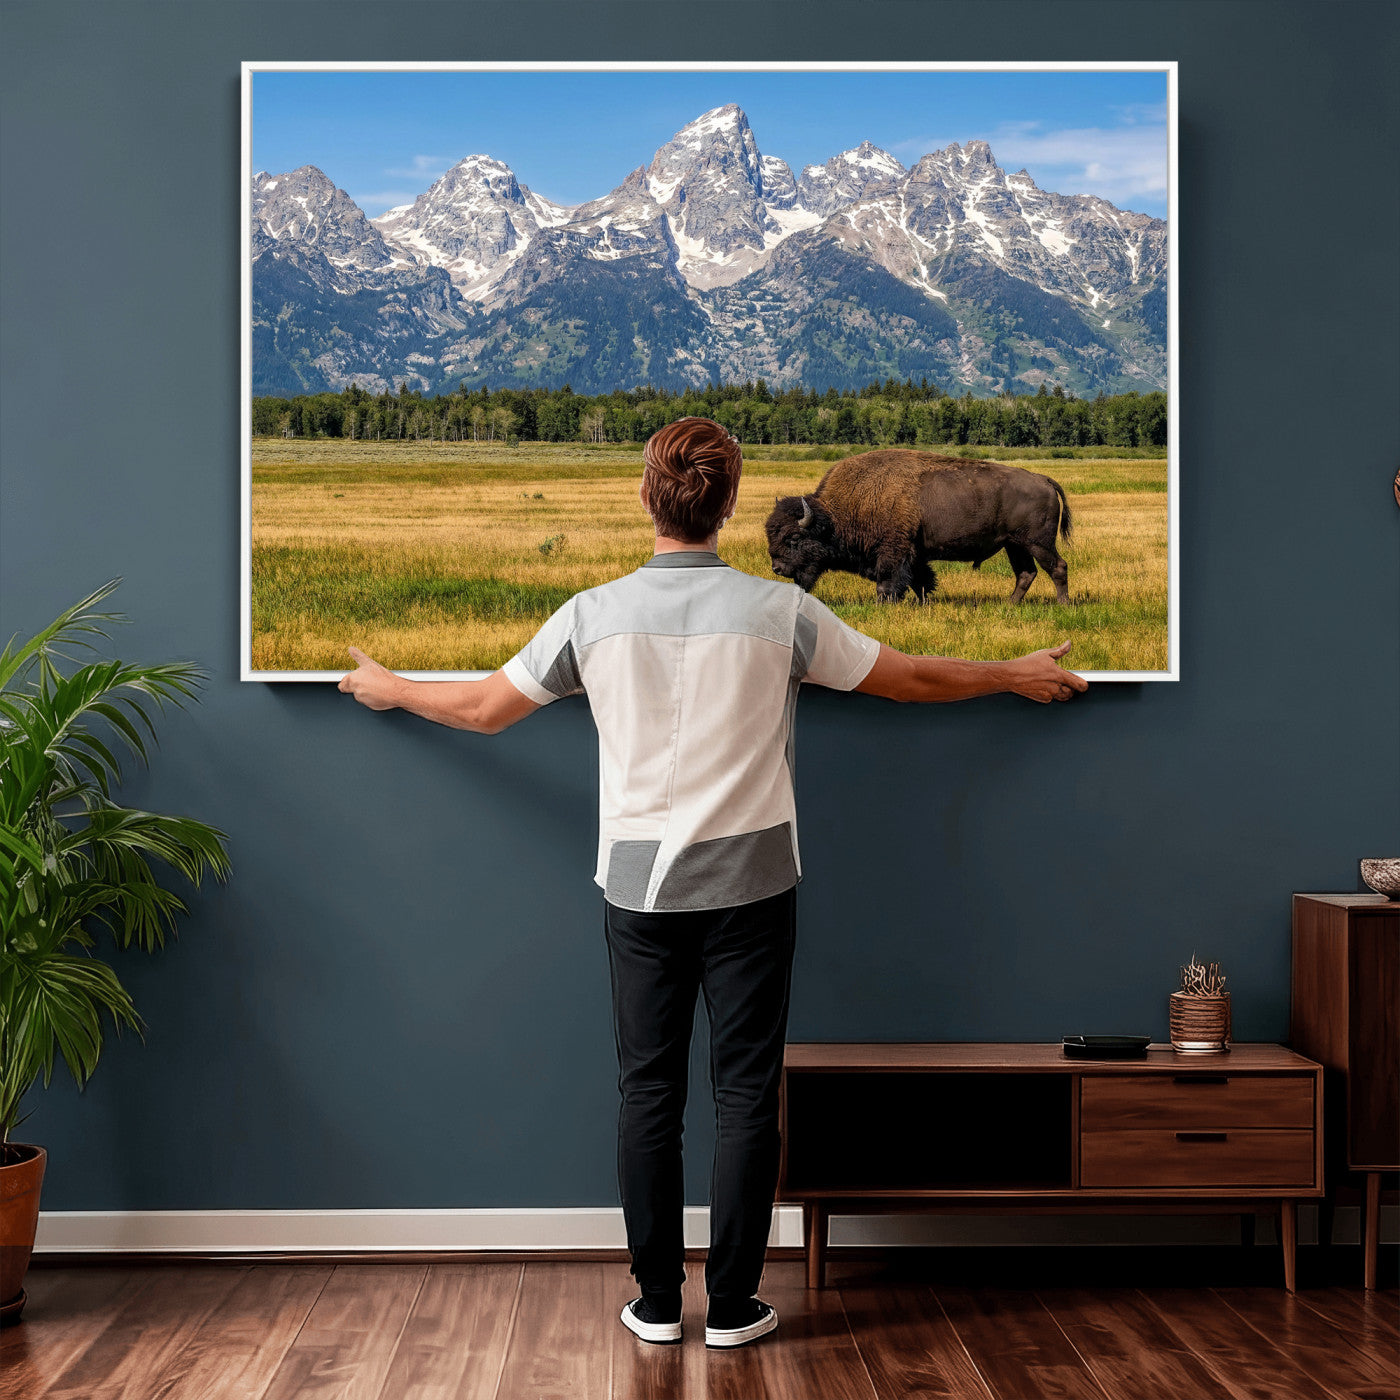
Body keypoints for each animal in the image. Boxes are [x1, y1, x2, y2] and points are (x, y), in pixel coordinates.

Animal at [764, 449, 1073, 605]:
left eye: (794, 538)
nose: (778, 568)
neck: (835, 515)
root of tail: (1043, 479)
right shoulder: (915, 554)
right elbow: (920, 581)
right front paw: (924, 602)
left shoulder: (894, 551)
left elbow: (889, 582)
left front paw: (884, 604)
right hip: (1014, 545)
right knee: (1026, 573)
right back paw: (1009, 605)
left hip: (1038, 543)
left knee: (1057, 567)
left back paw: (1062, 604)